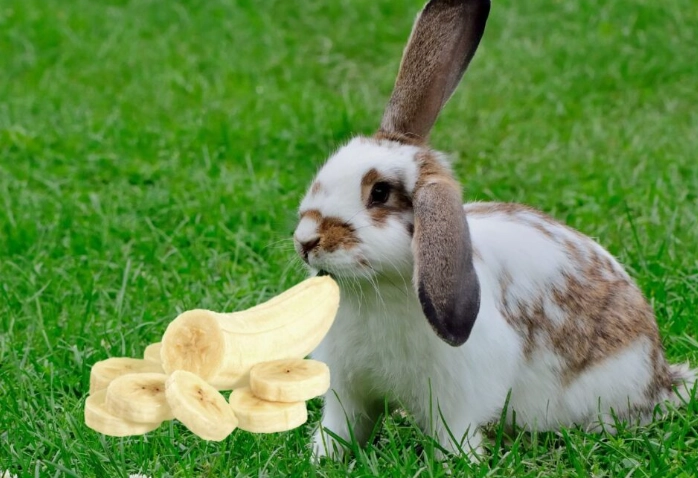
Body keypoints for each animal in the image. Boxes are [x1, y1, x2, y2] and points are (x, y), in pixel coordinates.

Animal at [291, 0, 696, 460]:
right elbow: (340, 429)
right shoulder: (349, 391)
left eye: (379, 193)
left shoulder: (454, 399)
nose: (306, 241)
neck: (379, 291)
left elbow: (455, 435)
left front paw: (458, 463)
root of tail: (660, 377)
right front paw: (322, 459)